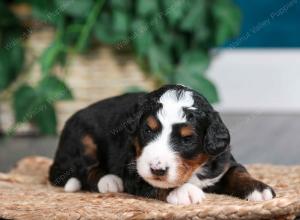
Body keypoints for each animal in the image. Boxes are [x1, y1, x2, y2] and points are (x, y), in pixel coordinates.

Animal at [48, 84, 274, 205]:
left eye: (187, 139)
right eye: (148, 130)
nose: (157, 169)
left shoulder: (223, 159)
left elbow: (238, 172)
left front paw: (258, 187)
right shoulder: (134, 171)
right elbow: (158, 185)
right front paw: (184, 191)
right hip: (81, 137)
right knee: (85, 168)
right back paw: (109, 180)